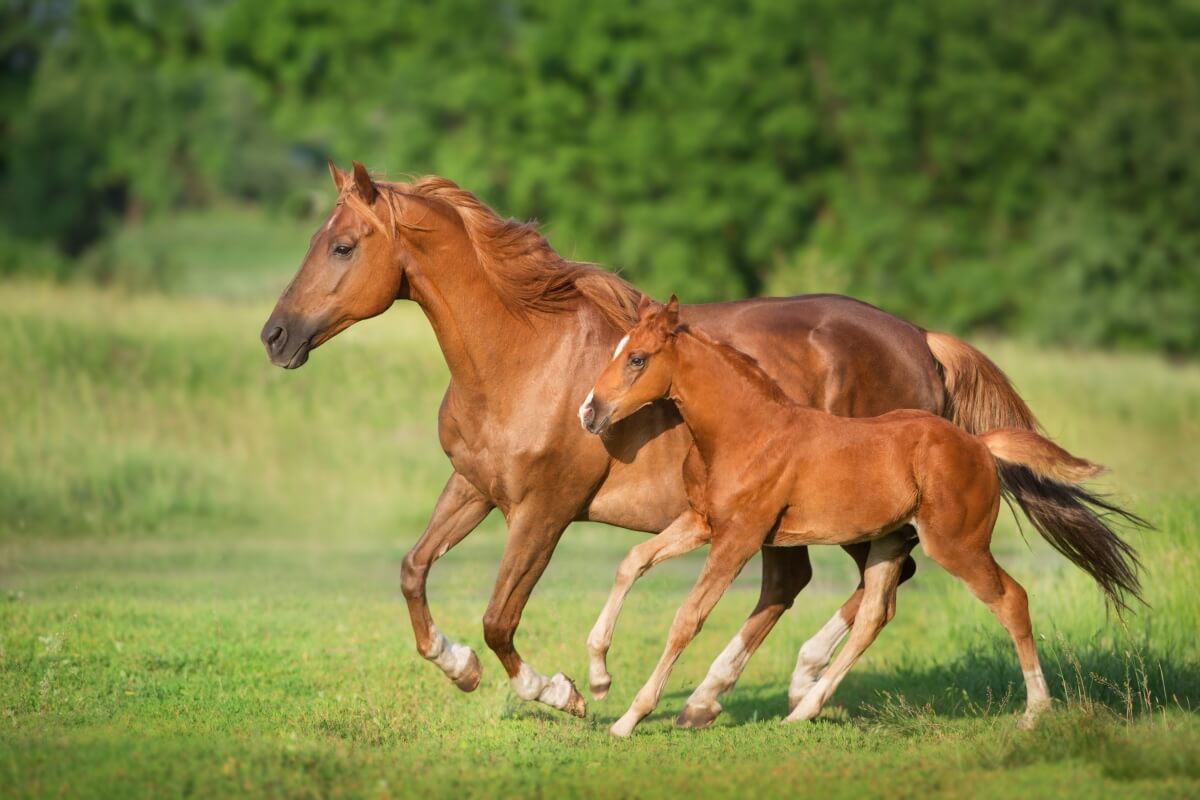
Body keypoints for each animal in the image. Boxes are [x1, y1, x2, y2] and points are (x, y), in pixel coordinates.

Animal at [262, 160, 1046, 724]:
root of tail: (920, 338)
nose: (275, 337)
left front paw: (566, 691)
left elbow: (498, 618)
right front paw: (459, 668)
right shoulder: (475, 488)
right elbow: (413, 571)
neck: (522, 355)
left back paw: (787, 683)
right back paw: (722, 696)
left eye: (341, 245)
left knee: (880, 579)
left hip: (855, 511)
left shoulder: (543, 512)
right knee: (810, 583)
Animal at [580, 296, 1146, 737]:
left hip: (957, 544)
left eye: (637, 358)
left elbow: (686, 618)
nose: (589, 412)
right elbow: (632, 561)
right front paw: (599, 676)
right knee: (876, 614)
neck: (748, 431)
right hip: (889, 542)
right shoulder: (701, 521)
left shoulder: (739, 537)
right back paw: (804, 708)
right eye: (618, 352)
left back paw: (1035, 711)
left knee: (1012, 600)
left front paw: (630, 717)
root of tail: (980, 445)